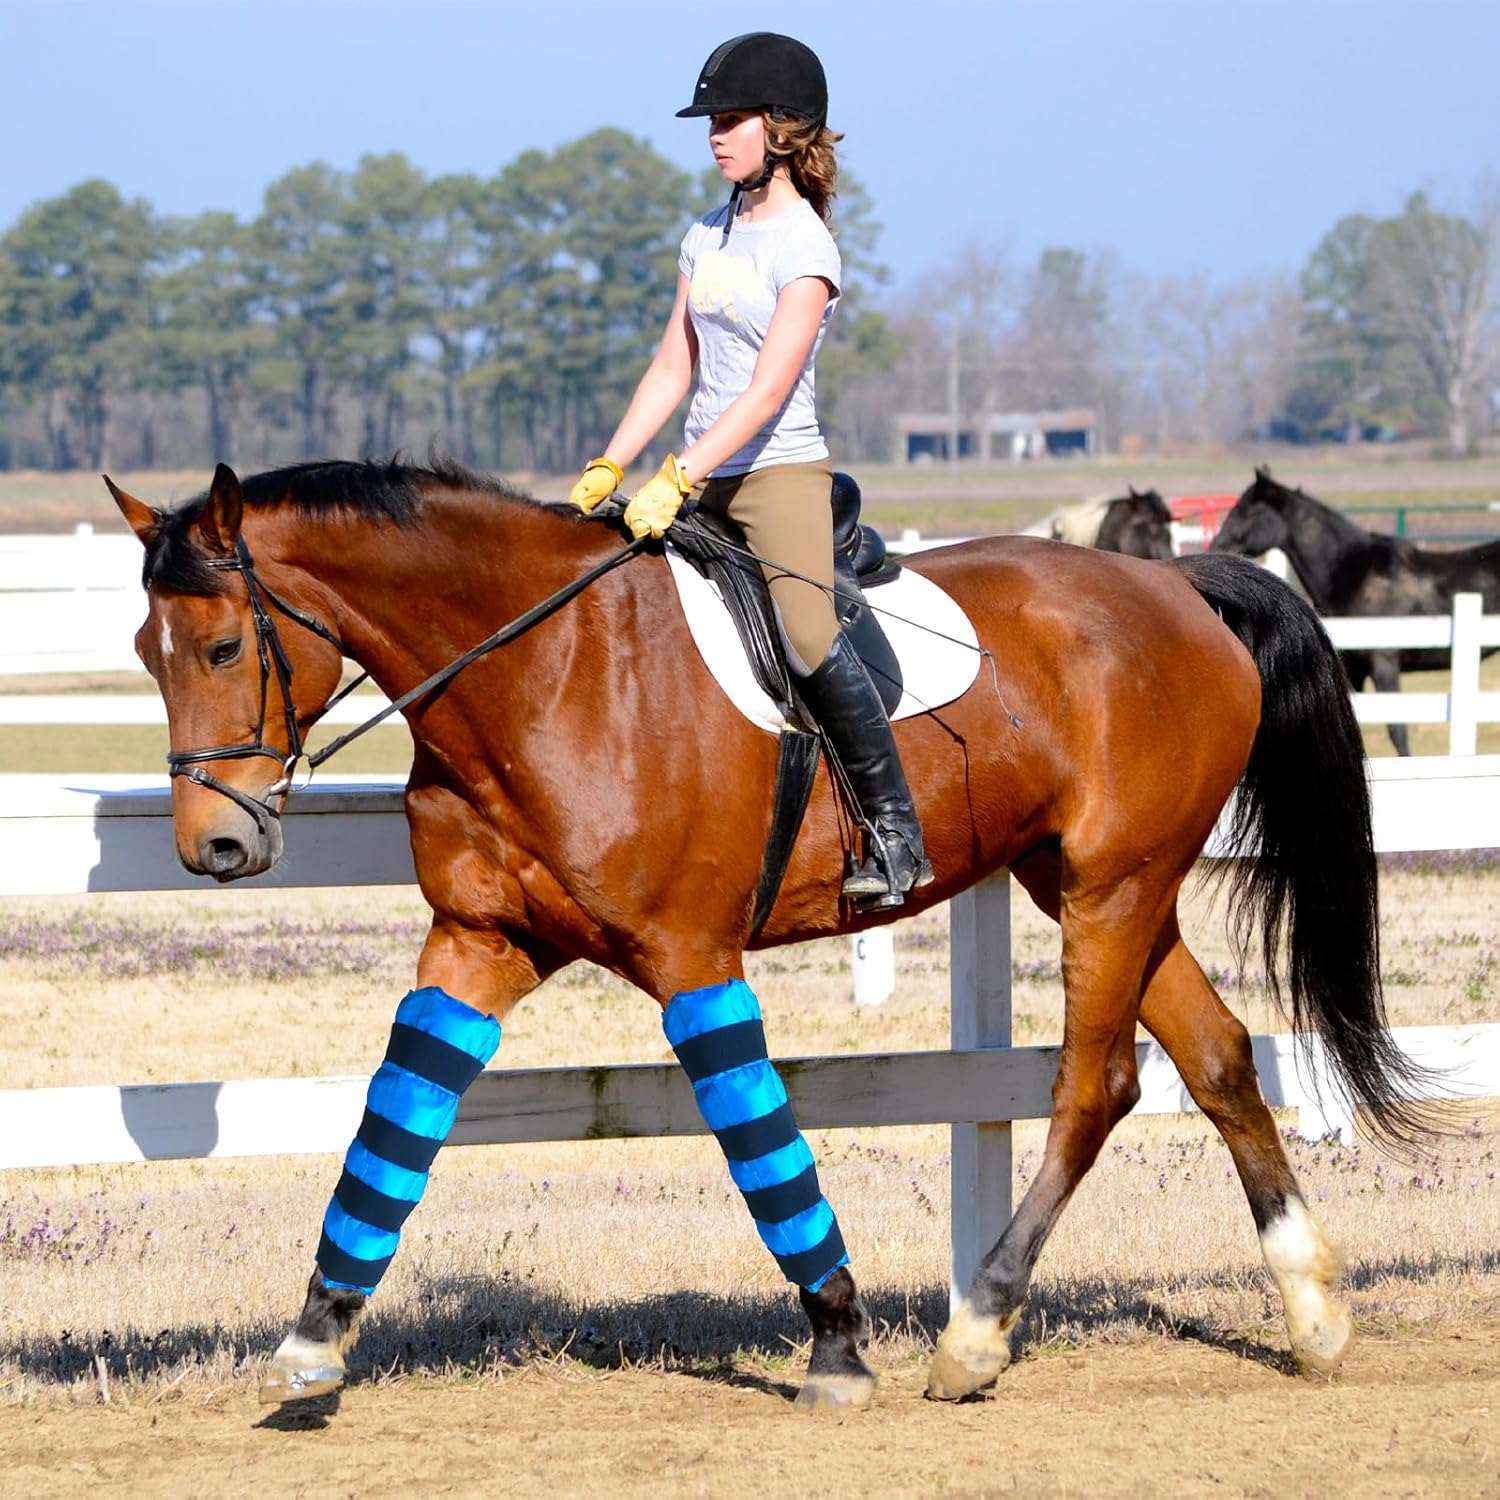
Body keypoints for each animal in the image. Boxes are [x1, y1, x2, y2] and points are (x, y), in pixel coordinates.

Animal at [105, 457, 1425, 1411]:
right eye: (142, 652)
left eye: (223, 645)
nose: (213, 848)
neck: (542, 669)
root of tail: (1179, 589)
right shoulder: (476, 944)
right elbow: (395, 1115)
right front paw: (314, 1335)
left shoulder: (690, 958)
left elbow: (758, 1140)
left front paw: (838, 1344)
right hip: (1089, 885)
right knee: (1219, 1058)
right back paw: (1314, 1317)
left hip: (1114, 886)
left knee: (1094, 1086)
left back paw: (978, 1333)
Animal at [1210, 468, 1500, 755]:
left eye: (1250, 511)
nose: (1216, 546)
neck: (1352, 572)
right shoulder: (1355, 668)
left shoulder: (1384, 664)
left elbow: (1397, 731)